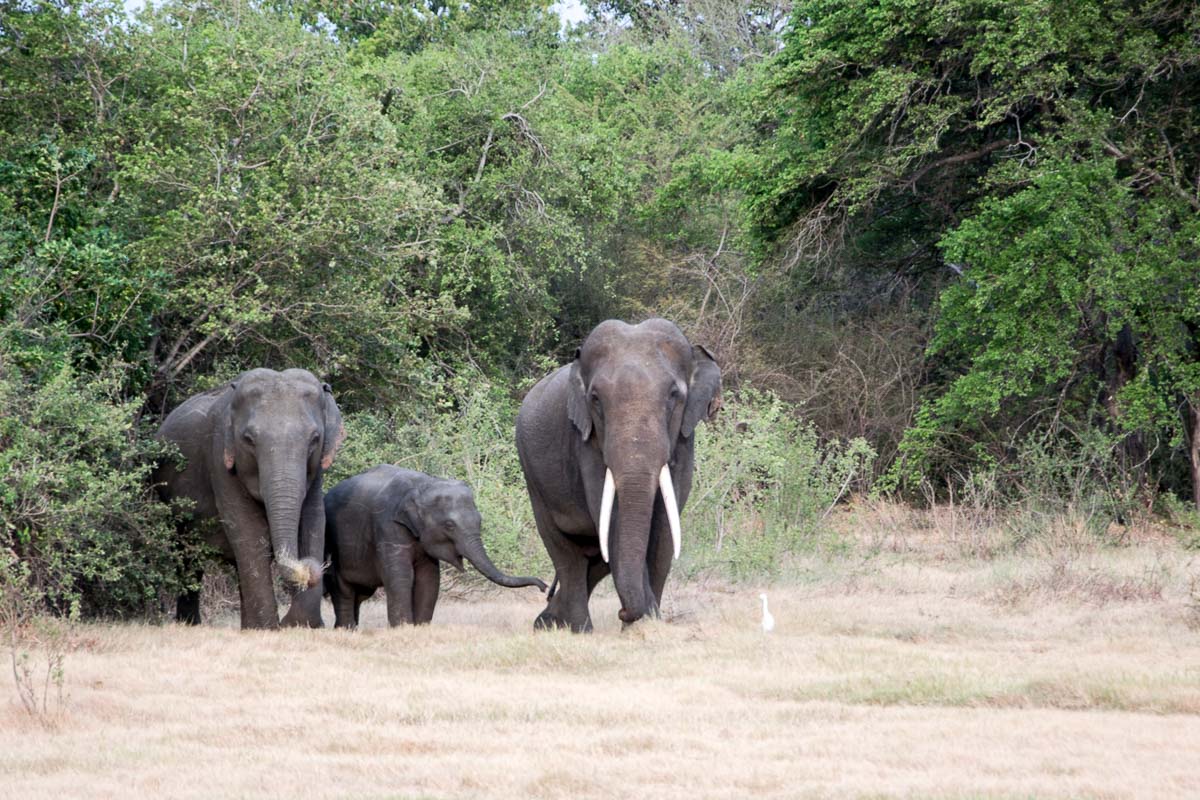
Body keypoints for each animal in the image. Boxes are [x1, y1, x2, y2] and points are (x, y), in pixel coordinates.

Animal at [152, 369, 343, 633]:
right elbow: (248, 528)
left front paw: (300, 625)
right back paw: (191, 625)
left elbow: (313, 521)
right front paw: (268, 629)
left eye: (315, 439)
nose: (308, 567)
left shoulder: (316, 473)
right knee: (188, 556)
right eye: (249, 439)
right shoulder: (219, 458)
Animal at [319, 465, 544, 628]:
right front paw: (403, 628)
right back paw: (345, 629)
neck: (425, 483)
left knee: (360, 594)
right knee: (344, 590)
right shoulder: (387, 525)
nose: (543, 587)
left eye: (480, 520)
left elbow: (429, 579)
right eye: (449, 525)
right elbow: (401, 576)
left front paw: (420, 628)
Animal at [516, 316, 720, 628]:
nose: (622, 612)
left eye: (674, 395)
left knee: (595, 557)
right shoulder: (586, 441)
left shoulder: (685, 441)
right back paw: (576, 628)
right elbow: (612, 521)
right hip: (532, 475)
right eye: (596, 399)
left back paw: (548, 622)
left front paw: (647, 623)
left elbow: (664, 529)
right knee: (565, 552)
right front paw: (643, 619)